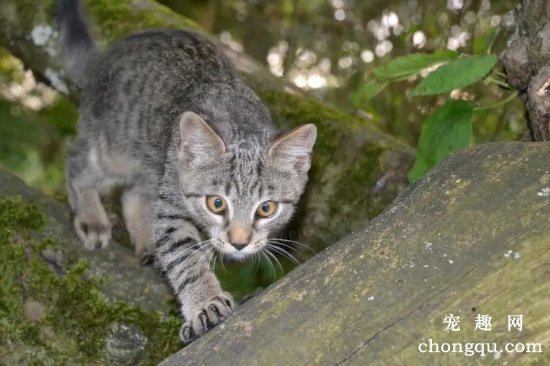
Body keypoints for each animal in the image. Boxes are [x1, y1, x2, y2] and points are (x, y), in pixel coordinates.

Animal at [57, 0, 316, 344]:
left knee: (133, 193)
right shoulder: (172, 204)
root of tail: (108, 55)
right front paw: (206, 302)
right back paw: (91, 217)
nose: (239, 243)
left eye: (266, 209)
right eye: (216, 203)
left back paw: (146, 242)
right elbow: (185, 254)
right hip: (115, 148)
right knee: (76, 161)